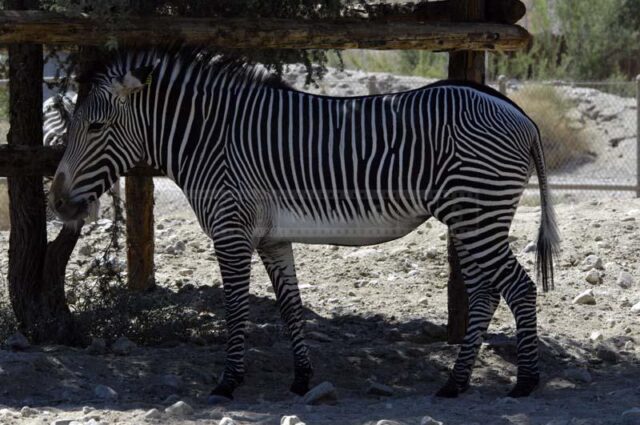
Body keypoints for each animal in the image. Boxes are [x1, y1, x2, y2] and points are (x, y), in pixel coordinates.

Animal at [48, 49, 559, 402]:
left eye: (94, 128)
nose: (57, 201)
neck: (209, 139)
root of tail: (519, 114)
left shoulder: (232, 231)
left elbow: (237, 309)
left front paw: (227, 383)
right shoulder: (273, 238)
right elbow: (290, 307)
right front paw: (301, 379)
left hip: (477, 210)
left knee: (517, 288)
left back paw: (525, 382)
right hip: (471, 216)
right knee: (486, 292)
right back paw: (456, 383)